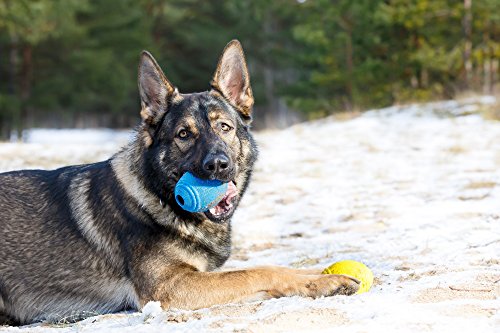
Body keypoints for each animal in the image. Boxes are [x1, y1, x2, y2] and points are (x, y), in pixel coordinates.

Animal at [0, 40, 360, 322]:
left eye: (224, 127)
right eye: (184, 135)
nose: (218, 165)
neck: (157, 194)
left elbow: (288, 267)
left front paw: (329, 275)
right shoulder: (171, 287)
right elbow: (259, 271)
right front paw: (323, 284)